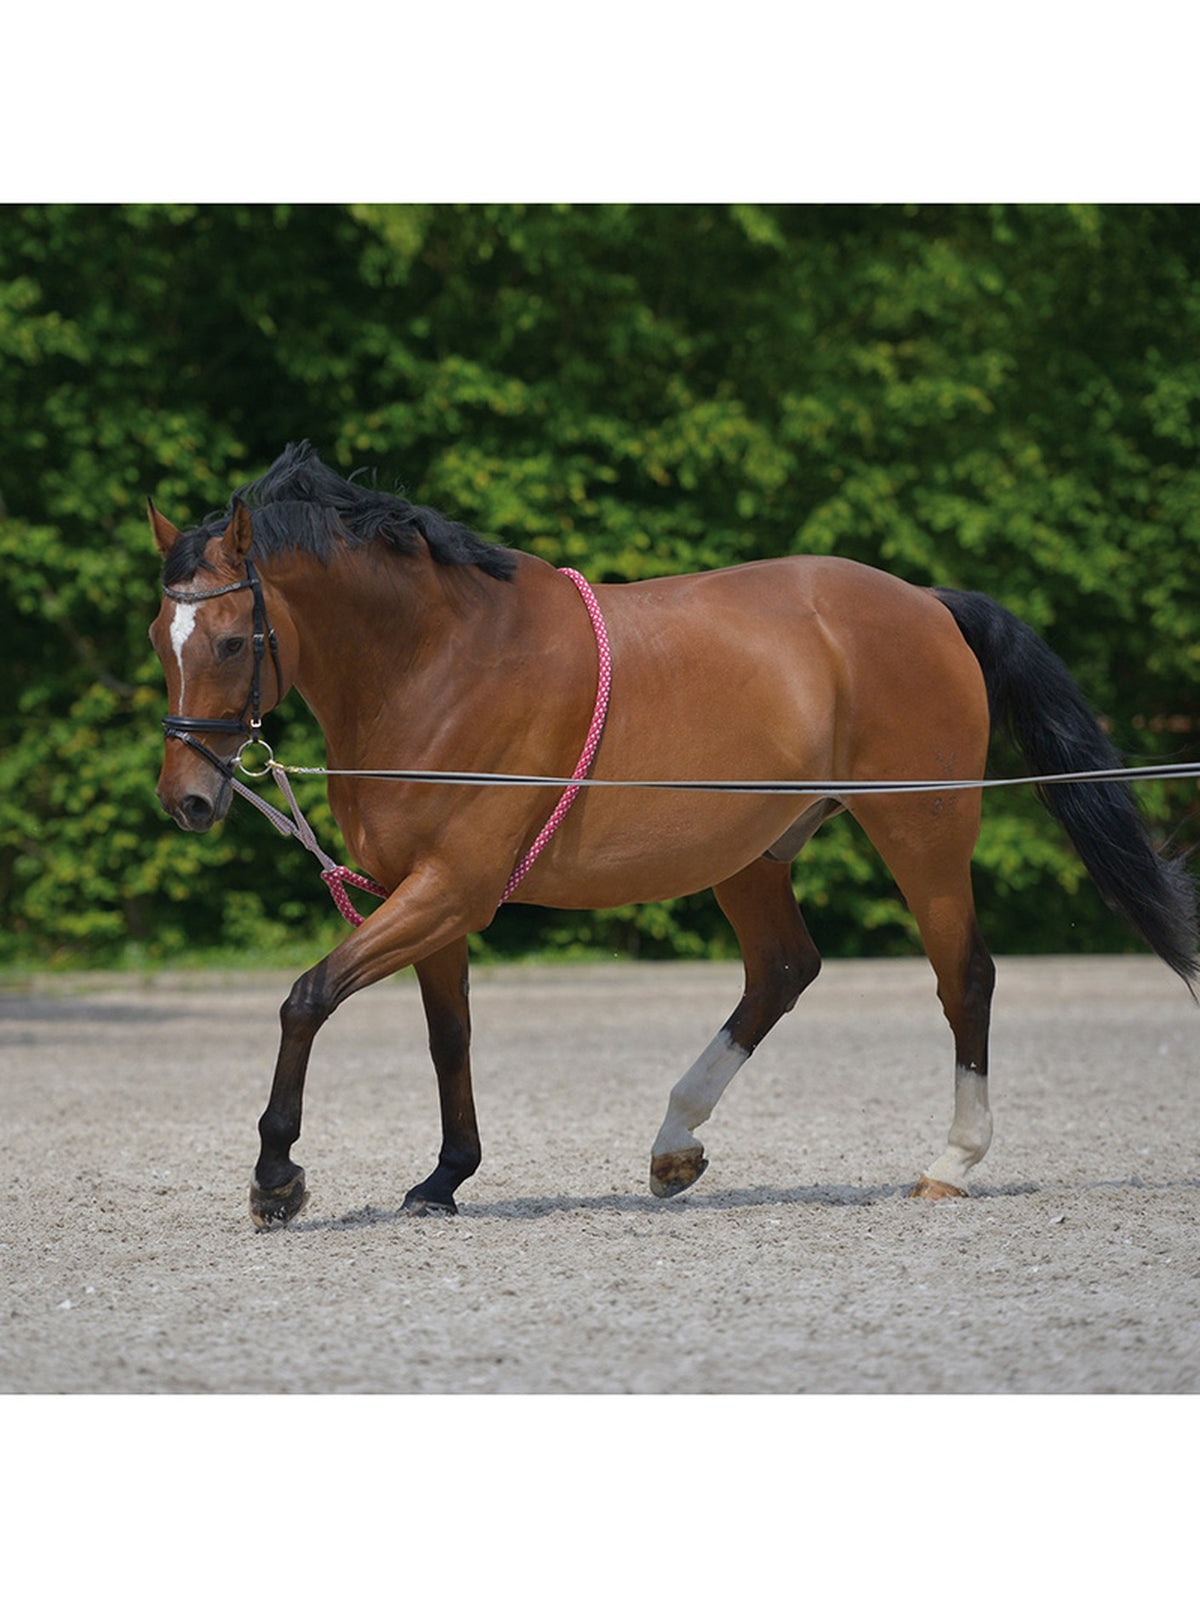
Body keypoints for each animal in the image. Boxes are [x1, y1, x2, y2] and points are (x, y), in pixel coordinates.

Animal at [148, 443, 1198, 1228]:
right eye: (161, 637)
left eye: (234, 640)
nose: (186, 800)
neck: (440, 664)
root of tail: (927, 603)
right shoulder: (425, 894)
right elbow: (450, 1036)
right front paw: (444, 1179)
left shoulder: (452, 888)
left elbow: (307, 998)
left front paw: (277, 1179)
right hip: (752, 853)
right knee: (783, 971)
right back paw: (673, 1146)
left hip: (923, 830)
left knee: (964, 977)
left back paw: (950, 1162)